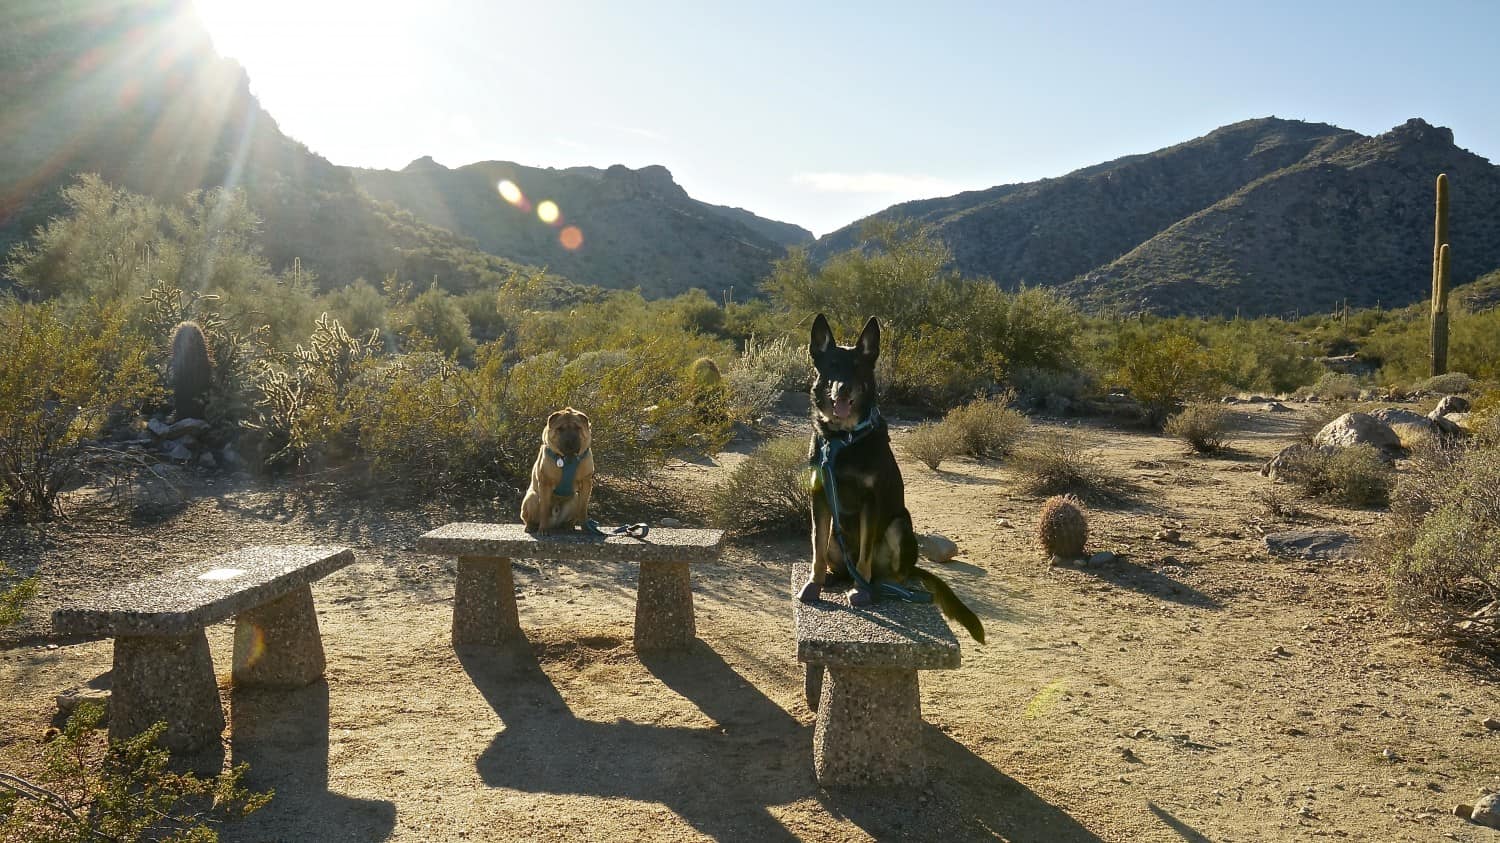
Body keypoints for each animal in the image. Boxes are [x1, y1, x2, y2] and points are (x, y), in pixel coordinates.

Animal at [798, 312, 984, 639]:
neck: (844, 439)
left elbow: (864, 555)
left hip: (900, 525)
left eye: (858, 367)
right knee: (842, 564)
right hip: (837, 534)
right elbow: (816, 546)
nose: (843, 389)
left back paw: (881, 586)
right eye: (832, 365)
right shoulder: (819, 496)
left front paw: (861, 592)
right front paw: (814, 584)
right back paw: (835, 578)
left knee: (895, 574)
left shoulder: (871, 500)